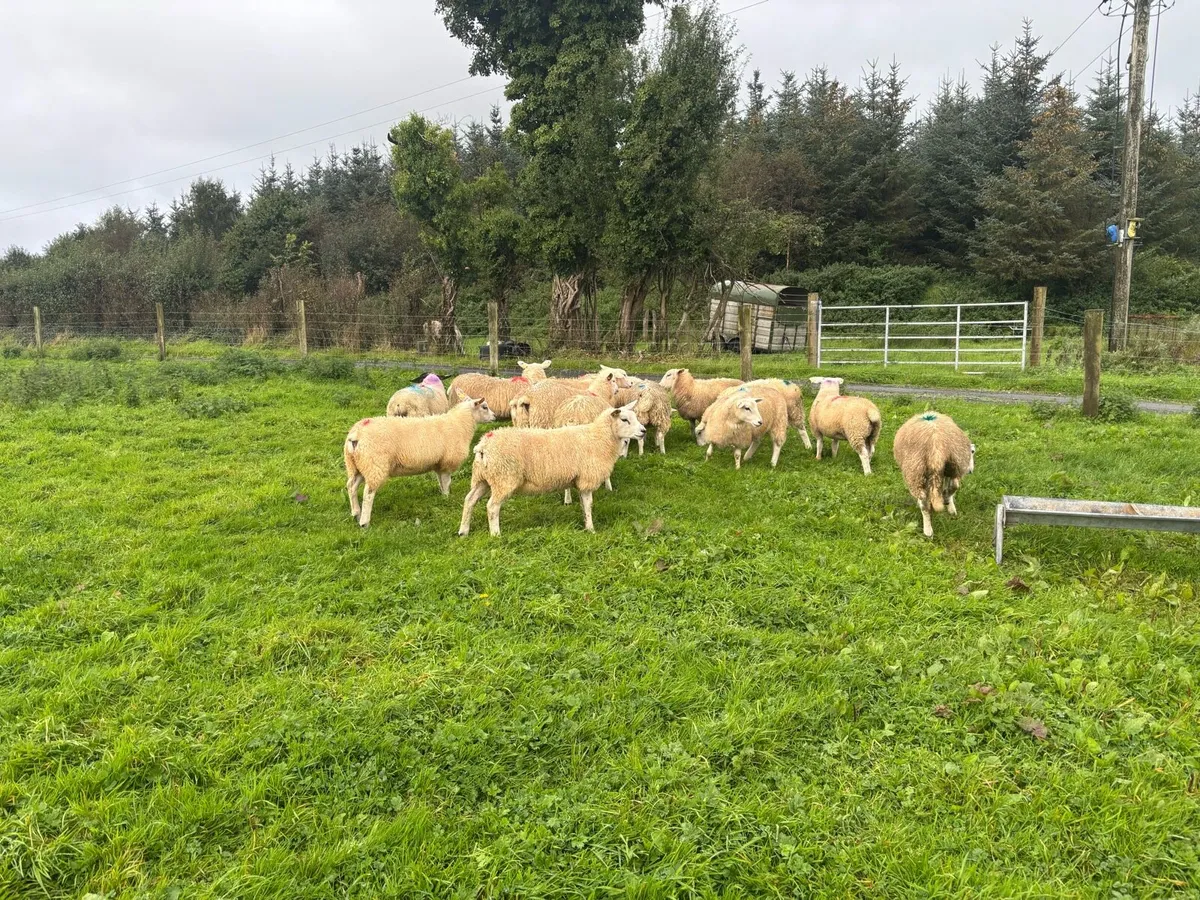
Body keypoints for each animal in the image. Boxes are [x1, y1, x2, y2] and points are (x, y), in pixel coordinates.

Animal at [344, 397, 495, 527]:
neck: (460, 424)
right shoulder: (447, 462)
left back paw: (356, 513)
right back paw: (364, 522)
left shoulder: (439, 464)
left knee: (351, 486)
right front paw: (447, 498)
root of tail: (356, 435)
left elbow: (441, 482)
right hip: (375, 465)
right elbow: (447, 482)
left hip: (357, 466)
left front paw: (443, 497)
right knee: (368, 493)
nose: (494, 416)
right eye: (484, 407)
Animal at [458, 403, 646, 536]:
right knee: (492, 507)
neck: (599, 438)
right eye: (624, 420)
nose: (643, 431)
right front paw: (591, 529)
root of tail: (483, 445)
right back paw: (496, 534)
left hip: (483, 478)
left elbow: (583, 505)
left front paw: (586, 525)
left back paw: (463, 531)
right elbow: (588, 505)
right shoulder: (586, 478)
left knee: (469, 500)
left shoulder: (578, 479)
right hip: (503, 478)